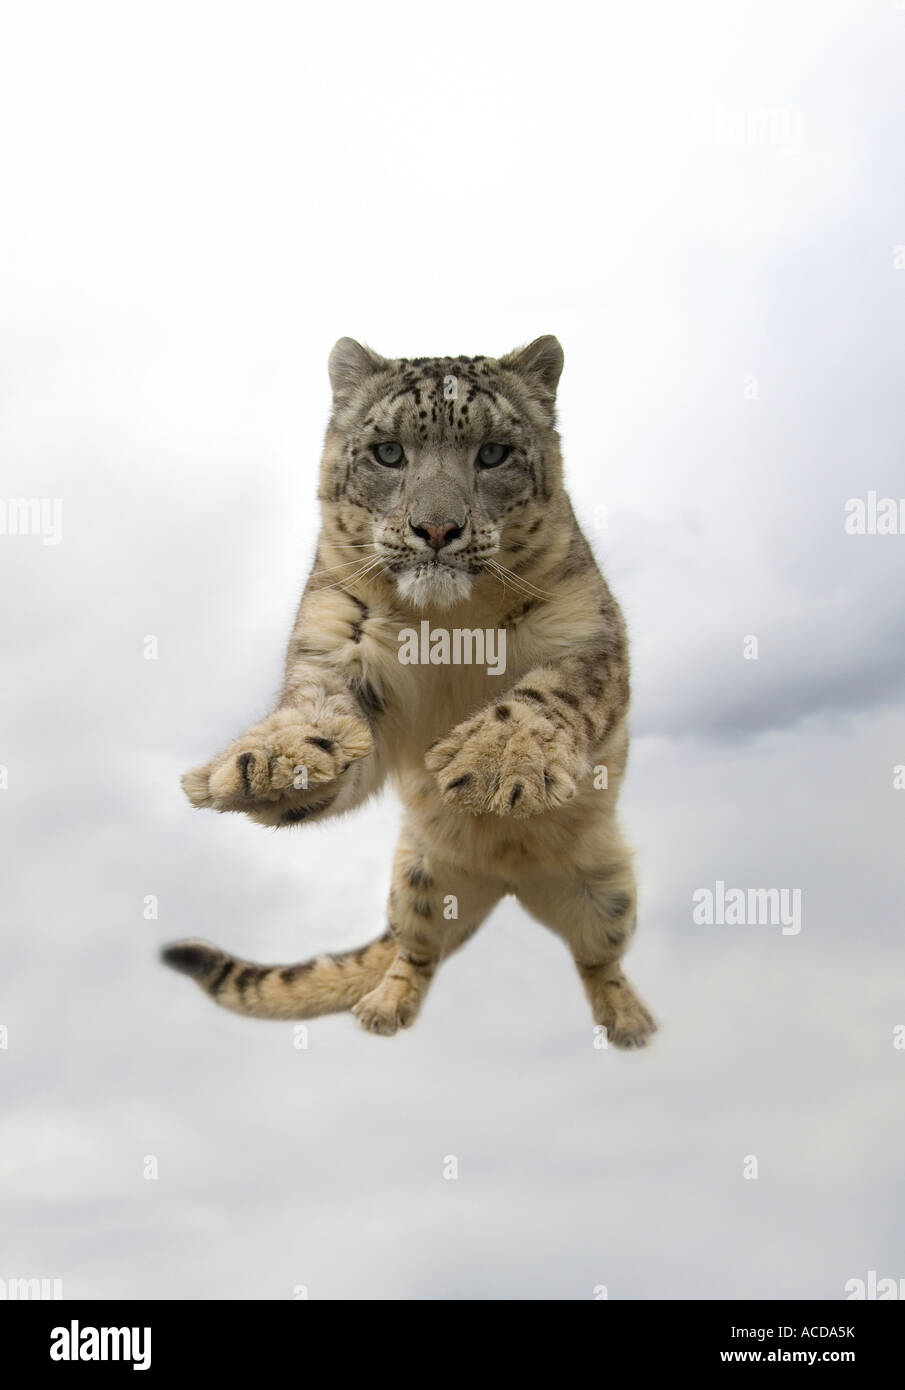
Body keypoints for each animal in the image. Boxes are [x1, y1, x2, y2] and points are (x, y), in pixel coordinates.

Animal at [162, 336, 657, 1049]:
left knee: (599, 956)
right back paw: (385, 1005)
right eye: (388, 452)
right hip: (413, 885)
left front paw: (497, 761)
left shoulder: (588, 633)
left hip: (612, 888)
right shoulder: (333, 639)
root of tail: (505, 881)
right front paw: (268, 761)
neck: (448, 625)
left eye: (494, 453)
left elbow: (554, 691)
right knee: (414, 949)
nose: (439, 529)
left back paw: (626, 1018)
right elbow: (316, 707)